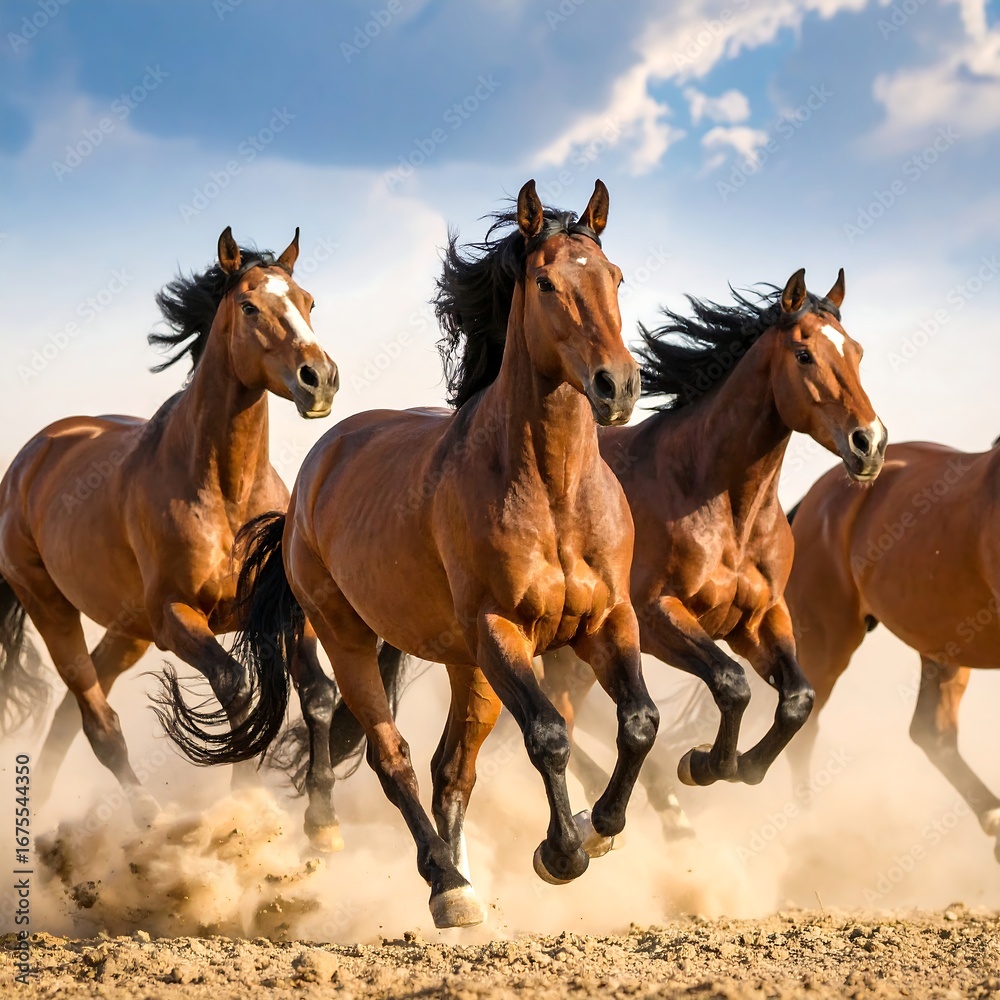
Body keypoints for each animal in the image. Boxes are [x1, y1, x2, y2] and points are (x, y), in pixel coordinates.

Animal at [0, 227, 339, 827]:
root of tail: (30, 457)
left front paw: (322, 822)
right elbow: (238, 691)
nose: (318, 379)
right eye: (249, 306)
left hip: (127, 629)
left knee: (71, 712)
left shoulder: (285, 607)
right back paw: (145, 817)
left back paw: (36, 811)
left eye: (308, 302)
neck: (225, 494)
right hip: (50, 606)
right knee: (99, 722)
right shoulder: (175, 616)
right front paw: (243, 805)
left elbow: (318, 693)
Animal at [157, 180, 660, 929]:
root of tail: (321, 463)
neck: (553, 491)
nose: (617, 385)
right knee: (390, 756)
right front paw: (561, 853)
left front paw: (598, 830)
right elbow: (548, 734)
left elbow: (639, 722)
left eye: (615, 277)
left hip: (465, 665)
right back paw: (444, 883)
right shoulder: (501, 630)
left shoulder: (608, 620)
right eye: (545, 281)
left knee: (452, 769)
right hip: (350, 637)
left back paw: (463, 879)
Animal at [537, 270, 886, 837]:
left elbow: (797, 699)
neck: (722, 504)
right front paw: (704, 764)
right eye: (804, 354)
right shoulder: (657, 615)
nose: (870, 444)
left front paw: (742, 767)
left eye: (856, 352)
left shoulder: (760, 618)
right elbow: (732, 683)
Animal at [785, 440, 1000, 861]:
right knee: (803, 732)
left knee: (932, 731)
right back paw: (811, 840)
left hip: (943, 645)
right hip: (827, 640)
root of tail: (815, 495)